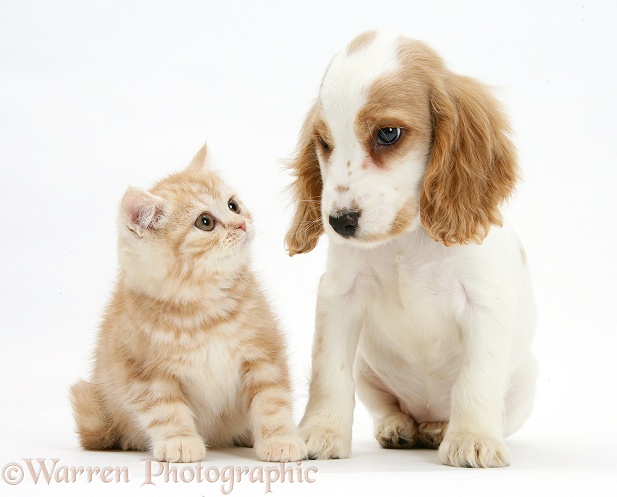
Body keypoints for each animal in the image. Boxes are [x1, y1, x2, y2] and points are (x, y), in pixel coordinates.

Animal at [70, 144, 308, 462]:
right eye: (205, 222)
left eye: (233, 205)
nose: (242, 224)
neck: (205, 309)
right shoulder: (146, 373)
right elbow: (166, 411)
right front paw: (179, 442)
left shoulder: (263, 353)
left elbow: (272, 401)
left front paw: (281, 440)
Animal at [286, 30, 536, 464]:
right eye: (325, 142)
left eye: (388, 133)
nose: (339, 222)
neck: (406, 239)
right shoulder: (340, 294)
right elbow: (329, 371)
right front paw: (321, 431)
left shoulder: (484, 300)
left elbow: (477, 377)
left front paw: (473, 438)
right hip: (368, 369)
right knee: (387, 406)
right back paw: (399, 427)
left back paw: (442, 428)